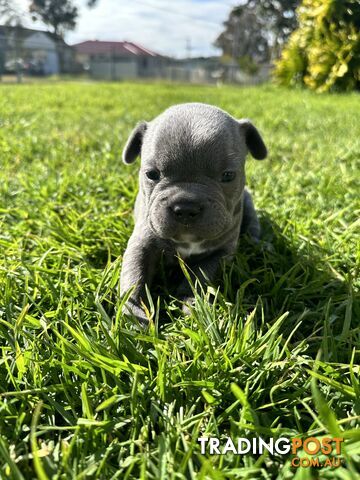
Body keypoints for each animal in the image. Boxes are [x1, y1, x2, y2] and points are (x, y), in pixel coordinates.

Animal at [119, 101, 266, 322]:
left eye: (228, 175)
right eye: (151, 174)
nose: (186, 207)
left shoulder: (222, 253)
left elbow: (200, 274)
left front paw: (190, 300)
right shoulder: (141, 244)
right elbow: (135, 274)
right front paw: (135, 310)